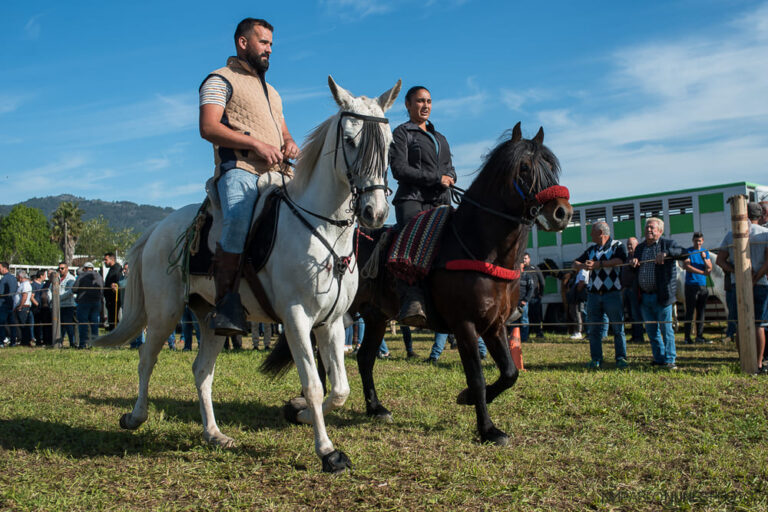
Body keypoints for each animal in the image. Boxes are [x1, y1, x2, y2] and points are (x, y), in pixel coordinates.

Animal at [94, 78, 402, 474]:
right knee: (147, 358)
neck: (320, 227)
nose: (374, 212)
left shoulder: (331, 322)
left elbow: (339, 389)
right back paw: (135, 417)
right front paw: (327, 451)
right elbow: (314, 384)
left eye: (389, 144)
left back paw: (214, 434)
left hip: (211, 319)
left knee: (201, 371)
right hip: (164, 313)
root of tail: (160, 228)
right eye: (350, 139)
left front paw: (298, 412)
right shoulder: (296, 318)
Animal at [264, 123, 568, 444]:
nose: (562, 212)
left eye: (551, 166)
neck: (477, 248)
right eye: (524, 168)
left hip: (375, 317)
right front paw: (487, 428)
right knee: (326, 361)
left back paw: (375, 408)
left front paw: (467, 399)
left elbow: (510, 372)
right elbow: (477, 377)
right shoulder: (464, 325)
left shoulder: (494, 324)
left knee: (364, 358)